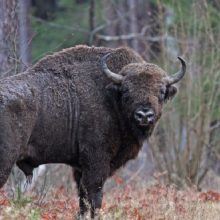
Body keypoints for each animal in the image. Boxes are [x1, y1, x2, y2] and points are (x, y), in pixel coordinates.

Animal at [0, 45, 186, 217]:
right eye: (126, 91)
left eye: (161, 91)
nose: (144, 115)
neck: (112, 98)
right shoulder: (96, 162)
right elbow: (95, 197)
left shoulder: (80, 168)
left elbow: (83, 198)